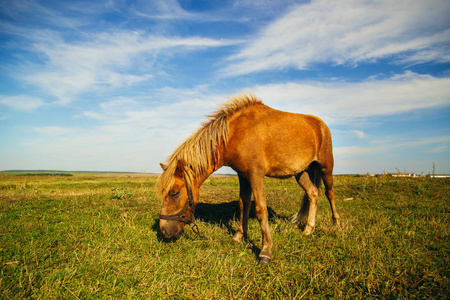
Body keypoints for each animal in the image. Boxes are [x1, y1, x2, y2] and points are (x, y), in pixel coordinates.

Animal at [156, 93, 340, 262]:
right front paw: (239, 235)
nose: (164, 230)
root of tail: (321, 124)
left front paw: (266, 250)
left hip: (326, 167)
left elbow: (260, 210)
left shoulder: (255, 175)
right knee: (313, 193)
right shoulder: (243, 176)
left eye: (174, 193)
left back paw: (336, 224)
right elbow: (243, 205)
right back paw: (308, 229)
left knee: (329, 193)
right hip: (300, 173)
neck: (235, 134)